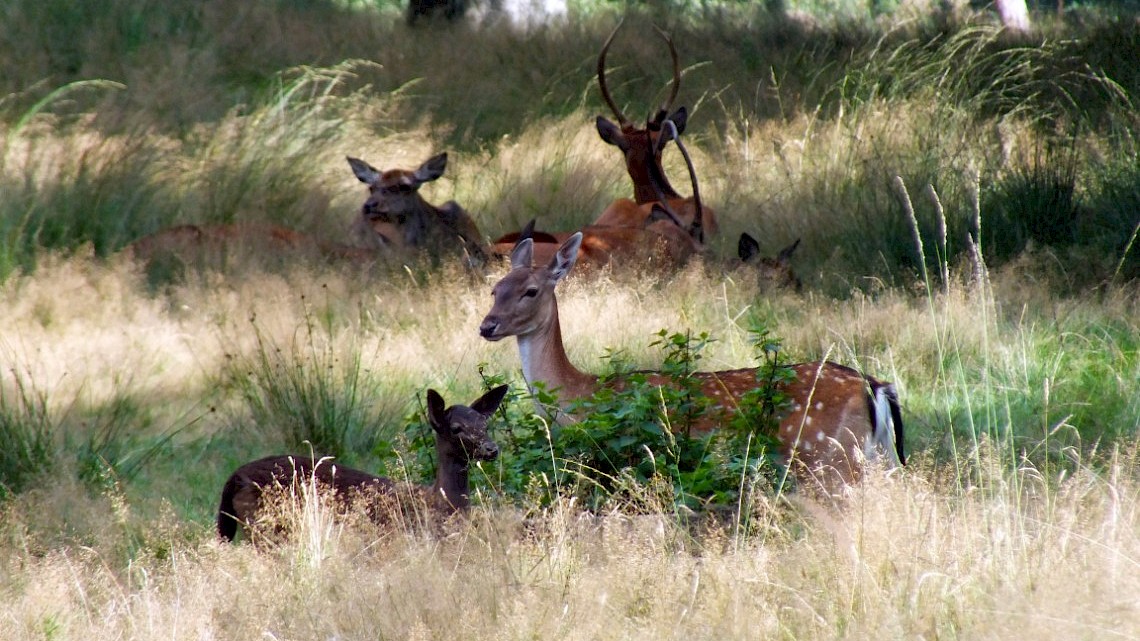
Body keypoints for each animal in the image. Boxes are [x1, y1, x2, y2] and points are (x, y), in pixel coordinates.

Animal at [216, 383, 508, 538]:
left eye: (484, 423)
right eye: (456, 428)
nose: (492, 448)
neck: (440, 502)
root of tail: (233, 479)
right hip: (264, 524)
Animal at [476, 231, 902, 485]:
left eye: (531, 291)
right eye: (495, 289)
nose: (487, 325)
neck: (578, 397)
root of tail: (874, 387)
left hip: (828, 455)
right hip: (879, 456)